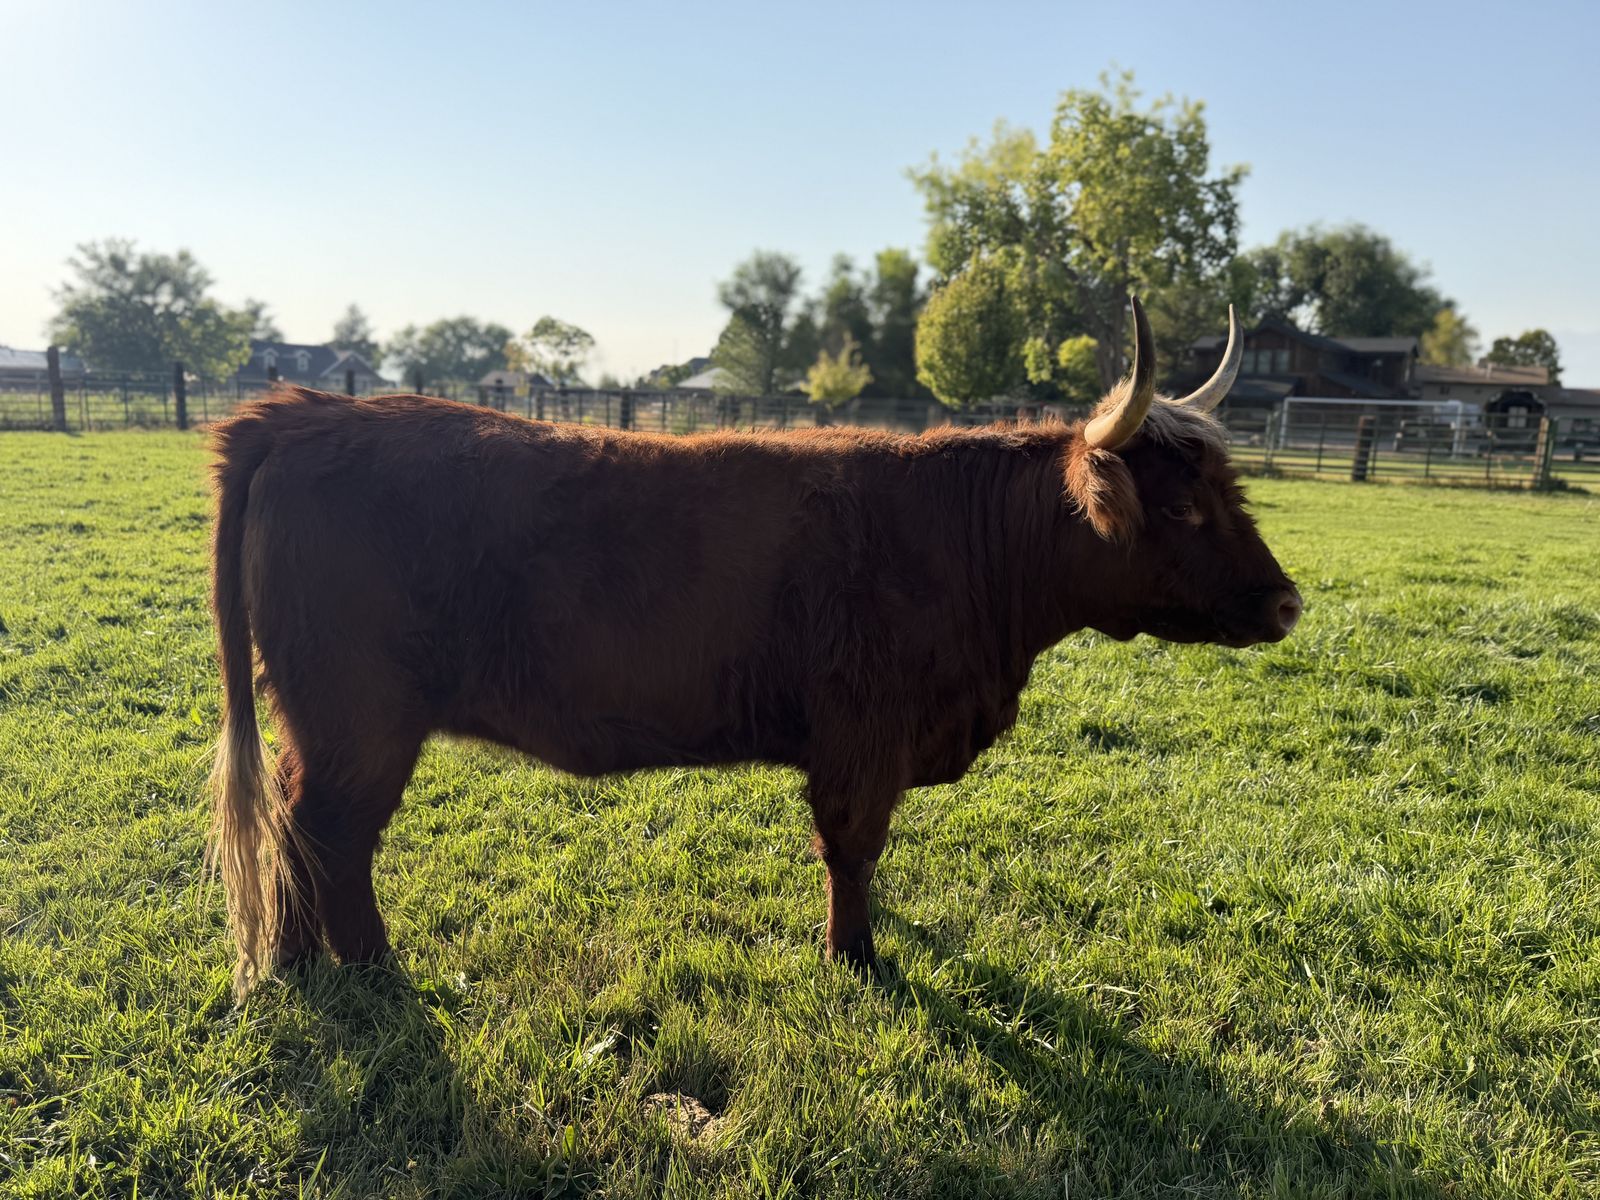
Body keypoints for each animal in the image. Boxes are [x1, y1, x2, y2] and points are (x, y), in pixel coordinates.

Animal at [208, 298, 1300, 996]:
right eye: (1180, 508)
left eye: (1230, 491)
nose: (1288, 604)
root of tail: (303, 413)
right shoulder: (861, 741)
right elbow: (851, 850)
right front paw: (856, 959)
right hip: (361, 718)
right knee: (332, 834)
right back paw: (373, 971)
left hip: (319, 721)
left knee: (298, 829)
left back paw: (299, 966)